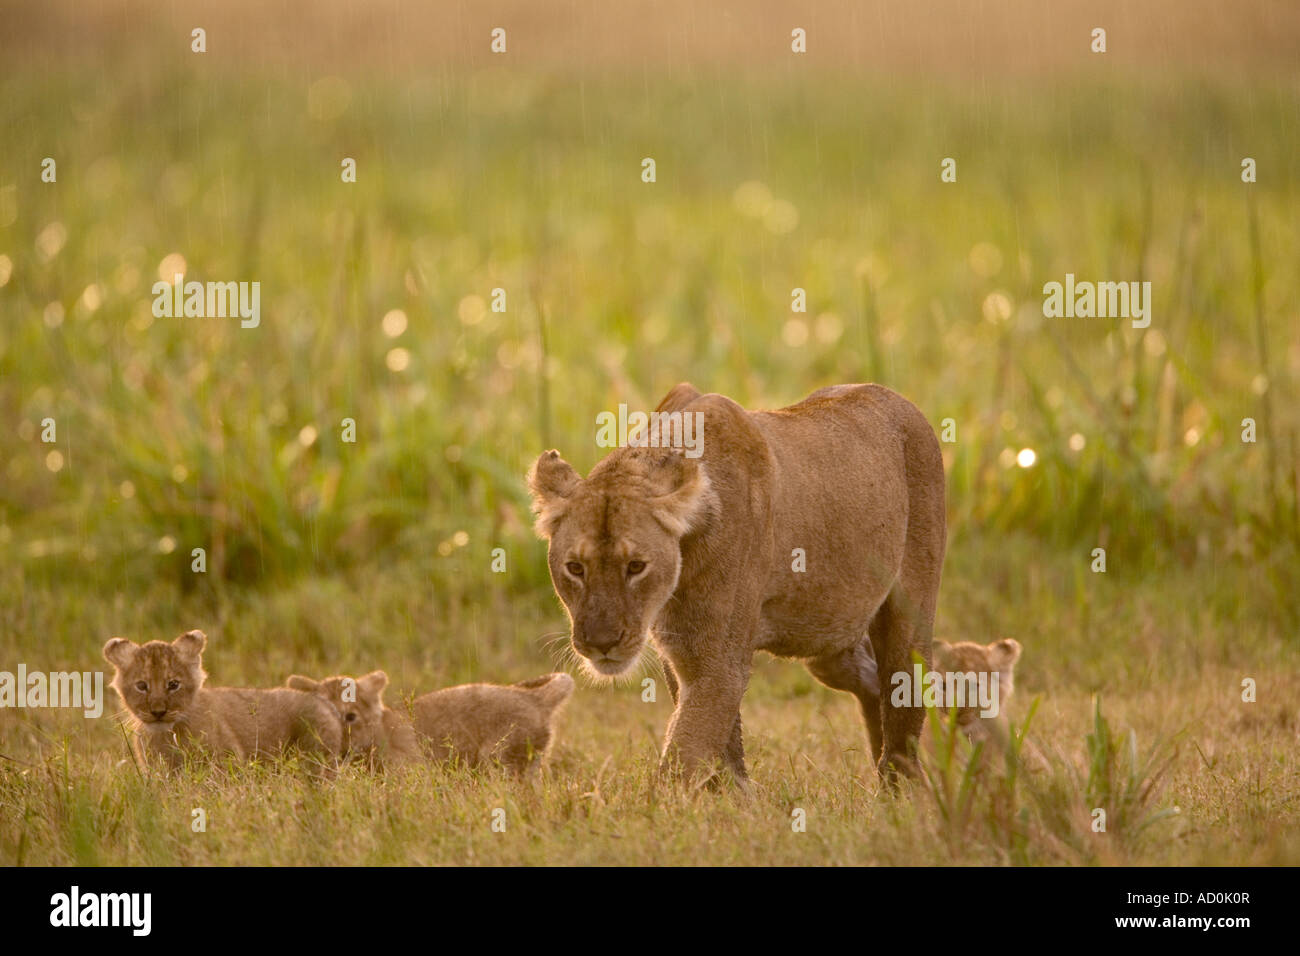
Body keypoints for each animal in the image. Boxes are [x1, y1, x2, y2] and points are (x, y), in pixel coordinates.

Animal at [103, 630, 342, 771]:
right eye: (142, 686)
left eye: (173, 684)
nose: (158, 712)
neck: (166, 736)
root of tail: (322, 700)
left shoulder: (228, 763)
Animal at [528, 382, 946, 785]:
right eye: (575, 568)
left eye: (635, 566)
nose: (601, 643)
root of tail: (898, 400)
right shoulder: (681, 650)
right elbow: (720, 746)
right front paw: (735, 795)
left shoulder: (717, 664)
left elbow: (683, 755)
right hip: (829, 634)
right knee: (870, 681)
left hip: (906, 619)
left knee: (902, 698)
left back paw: (901, 786)